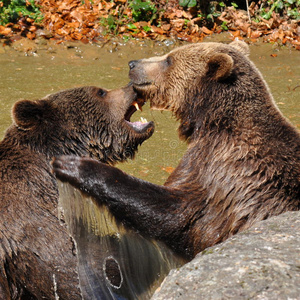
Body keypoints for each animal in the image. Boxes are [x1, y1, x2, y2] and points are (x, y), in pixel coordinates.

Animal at [53, 41, 300, 262]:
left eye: (168, 60)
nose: (132, 64)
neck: (213, 120)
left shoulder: (222, 171)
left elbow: (176, 214)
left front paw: (75, 165)